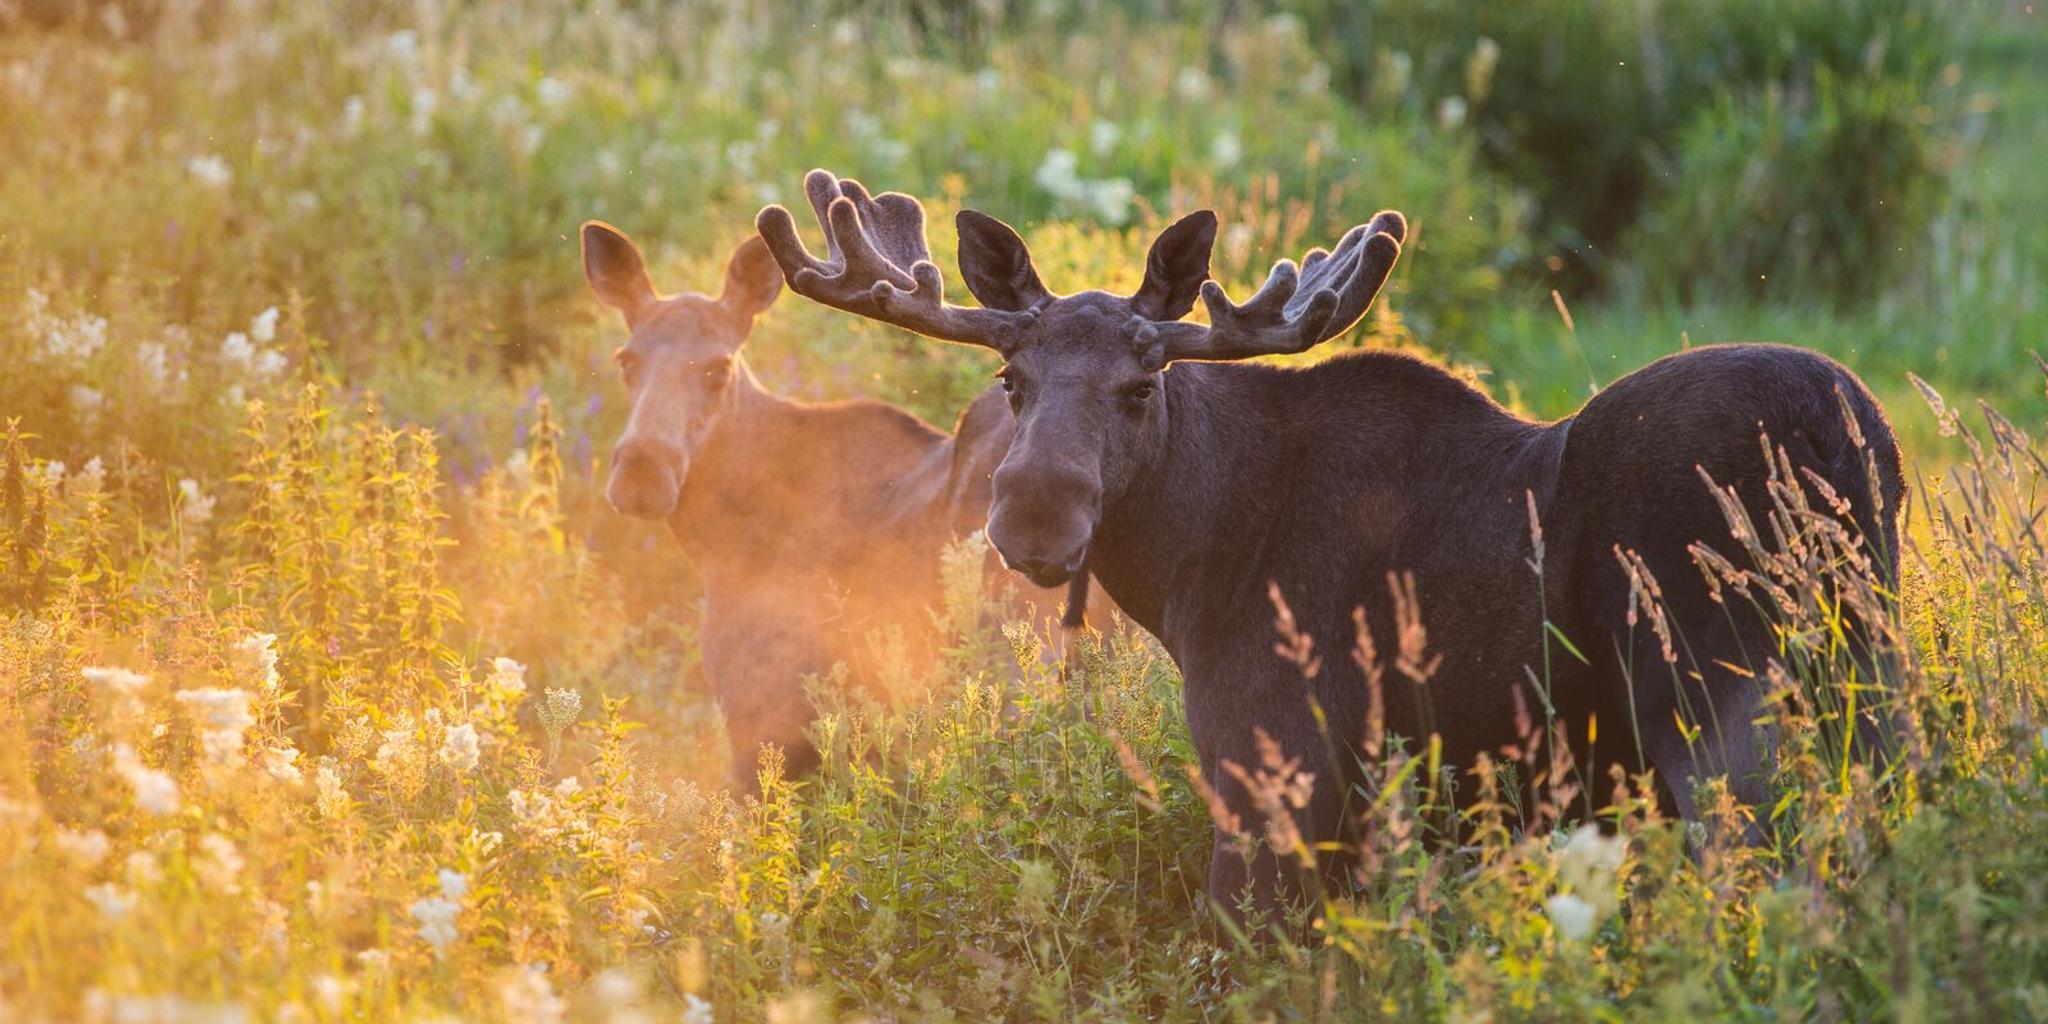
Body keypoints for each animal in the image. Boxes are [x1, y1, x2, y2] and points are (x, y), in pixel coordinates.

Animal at [756, 170, 1904, 921]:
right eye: (1011, 379)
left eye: (1140, 385)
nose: (1035, 519)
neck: (1189, 569)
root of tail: (1844, 428)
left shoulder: (1274, 766)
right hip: (1869, 686)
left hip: (1726, 712)